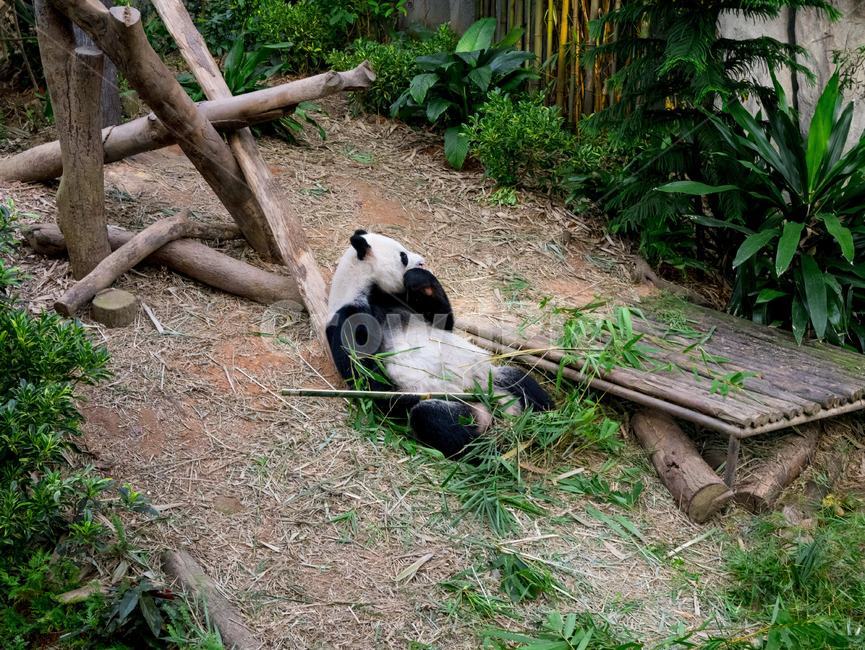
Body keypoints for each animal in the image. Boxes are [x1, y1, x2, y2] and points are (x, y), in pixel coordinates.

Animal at [326, 229, 553, 457]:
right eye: (403, 256)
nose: (422, 262)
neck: (368, 290)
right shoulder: (349, 316)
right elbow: (368, 377)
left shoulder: (400, 301)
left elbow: (443, 320)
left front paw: (419, 278)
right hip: (450, 400)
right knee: (434, 420)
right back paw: (486, 444)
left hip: (487, 374)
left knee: (520, 382)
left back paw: (544, 418)